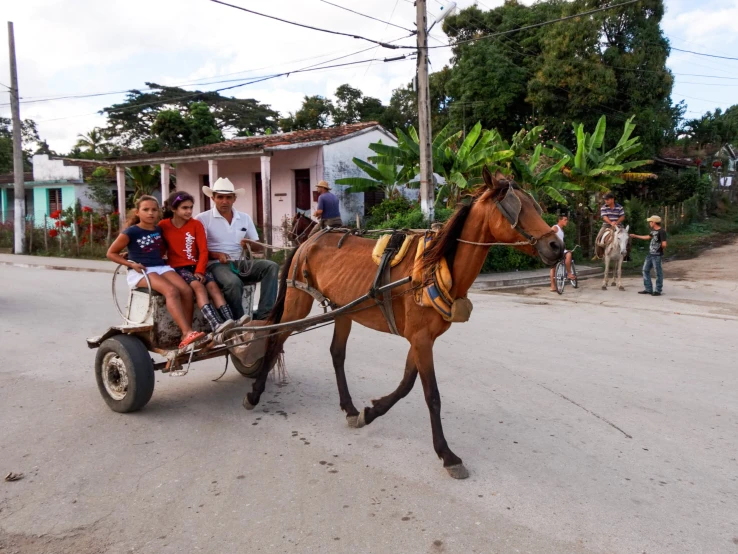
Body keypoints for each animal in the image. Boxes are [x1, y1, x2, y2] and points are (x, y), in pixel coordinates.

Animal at [244, 167, 560, 474]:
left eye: (534, 205)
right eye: (514, 208)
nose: (556, 245)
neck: (434, 267)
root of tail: (308, 242)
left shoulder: (421, 338)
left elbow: (407, 383)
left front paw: (371, 412)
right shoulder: (420, 339)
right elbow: (432, 395)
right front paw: (446, 454)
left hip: (343, 310)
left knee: (336, 354)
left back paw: (349, 408)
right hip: (297, 301)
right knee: (276, 340)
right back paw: (254, 394)